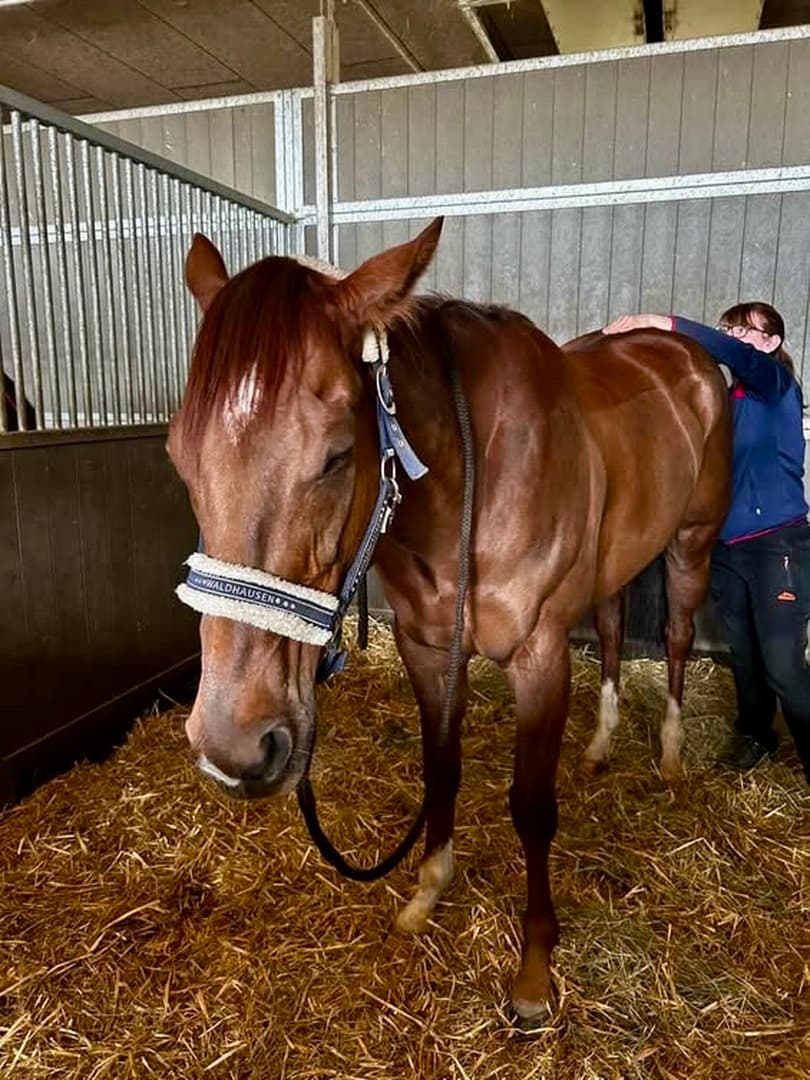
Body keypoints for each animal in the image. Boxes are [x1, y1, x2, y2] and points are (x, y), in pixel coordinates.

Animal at [167, 218, 732, 1029]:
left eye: (337, 456)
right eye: (180, 457)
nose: (233, 748)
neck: (472, 477)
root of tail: (686, 353)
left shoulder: (540, 657)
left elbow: (532, 808)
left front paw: (534, 972)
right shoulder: (428, 649)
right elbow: (441, 770)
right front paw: (426, 893)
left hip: (693, 543)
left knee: (679, 639)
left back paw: (673, 757)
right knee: (615, 631)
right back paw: (600, 745)